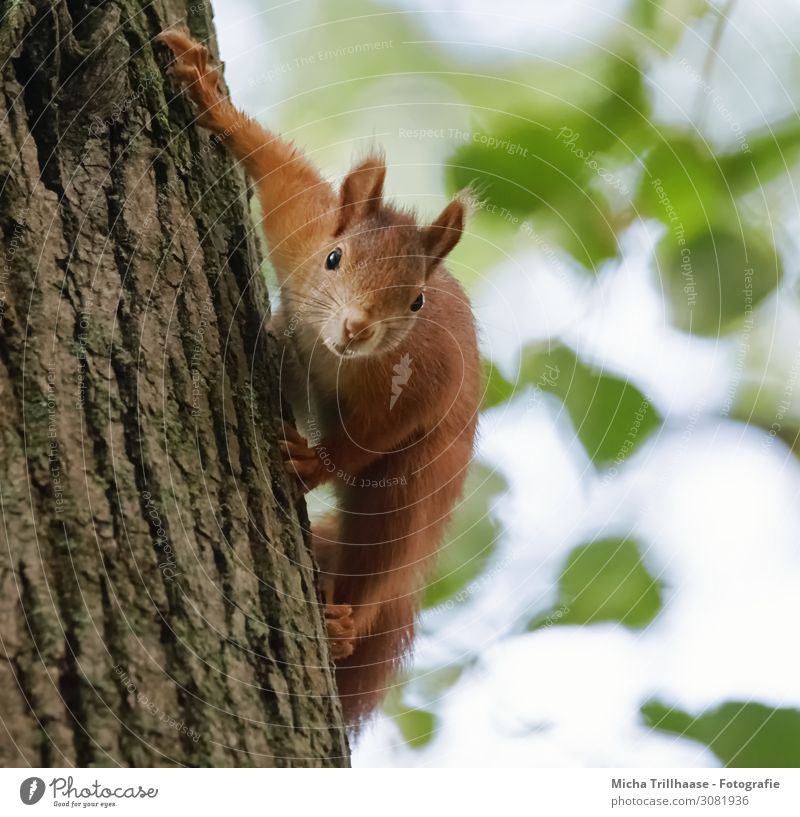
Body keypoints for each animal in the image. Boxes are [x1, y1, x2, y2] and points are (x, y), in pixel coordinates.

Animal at [159, 30, 478, 728]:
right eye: (334, 258)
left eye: (416, 301)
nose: (357, 328)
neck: (341, 358)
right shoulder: (302, 225)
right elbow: (278, 167)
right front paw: (206, 93)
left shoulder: (425, 379)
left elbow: (371, 437)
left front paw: (313, 462)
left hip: (415, 488)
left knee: (384, 558)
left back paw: (344, 624)